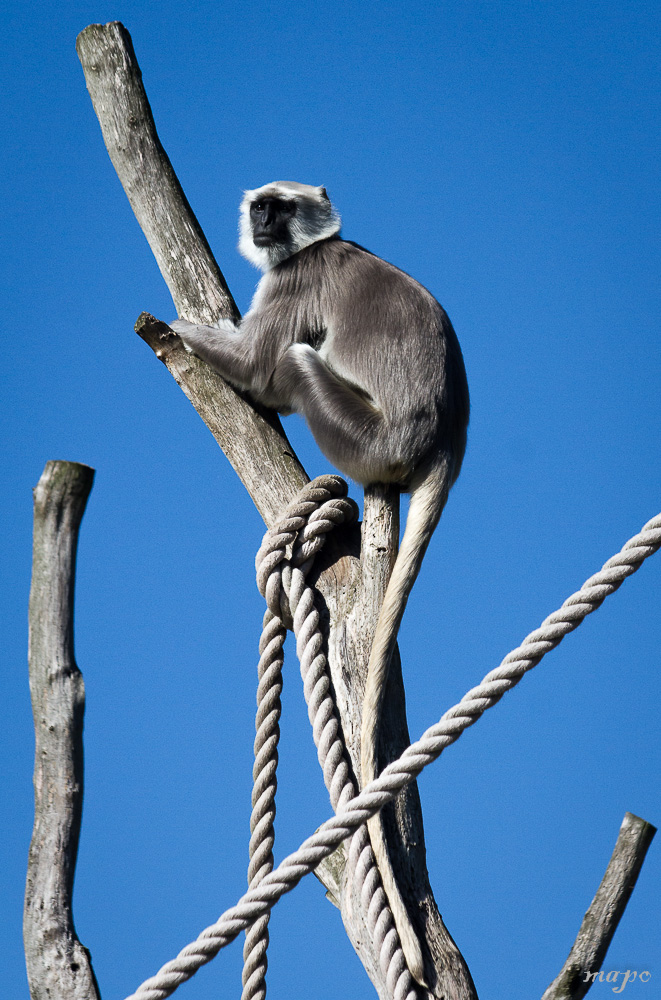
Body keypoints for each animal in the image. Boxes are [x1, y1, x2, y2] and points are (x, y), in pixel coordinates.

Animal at [170, 182, 470, 984]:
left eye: (280, 207)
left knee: (300, 361)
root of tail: (446, 438)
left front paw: (176, 329)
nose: (264, 223)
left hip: (366, 439)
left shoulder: (293, 280)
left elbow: (256, 365)